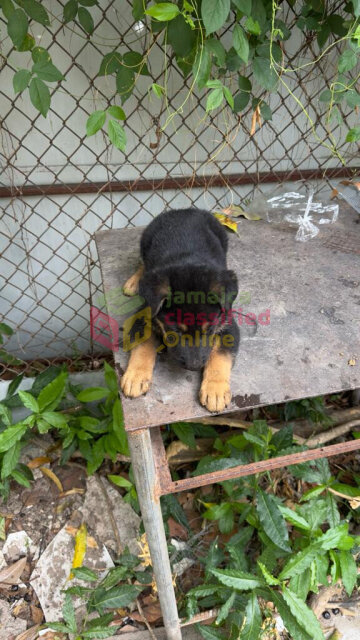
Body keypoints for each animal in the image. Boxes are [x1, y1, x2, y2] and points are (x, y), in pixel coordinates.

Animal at [120, 208, 239, 412]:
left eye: (210, 329)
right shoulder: (145, 313)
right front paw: (135, 376)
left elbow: (220, 355)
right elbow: (143, 344)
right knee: (143, 263)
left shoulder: (228, 321)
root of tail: (184, 210)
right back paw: (134, 282)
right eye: (175, 330)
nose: (194, 366)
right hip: (146, 239)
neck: (187, 260)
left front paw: (214, 390)